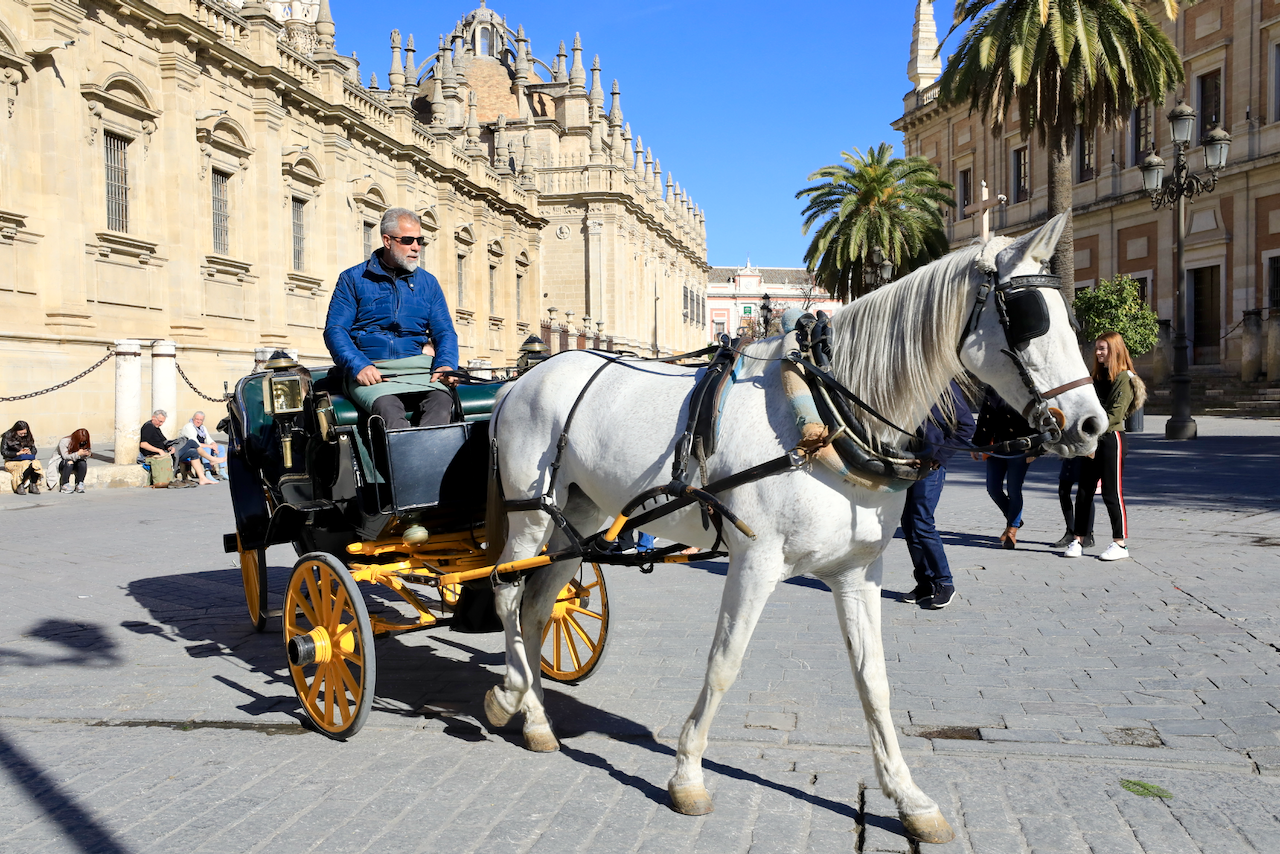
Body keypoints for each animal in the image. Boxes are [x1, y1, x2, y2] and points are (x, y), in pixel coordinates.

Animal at [483, 213, 1105, 839]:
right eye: (1028, 319)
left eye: (1071, 320)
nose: (1092, 424)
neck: (826, 414)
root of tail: (520, 379)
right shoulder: (754, 562)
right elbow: (724, 664)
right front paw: (687, 775)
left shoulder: (858, 572)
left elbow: (874, 680)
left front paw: (908, 797)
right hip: (531, 512)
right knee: (508, 592)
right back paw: (514, 696)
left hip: (579, 514)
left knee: (540, 604)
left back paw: (531, 713)